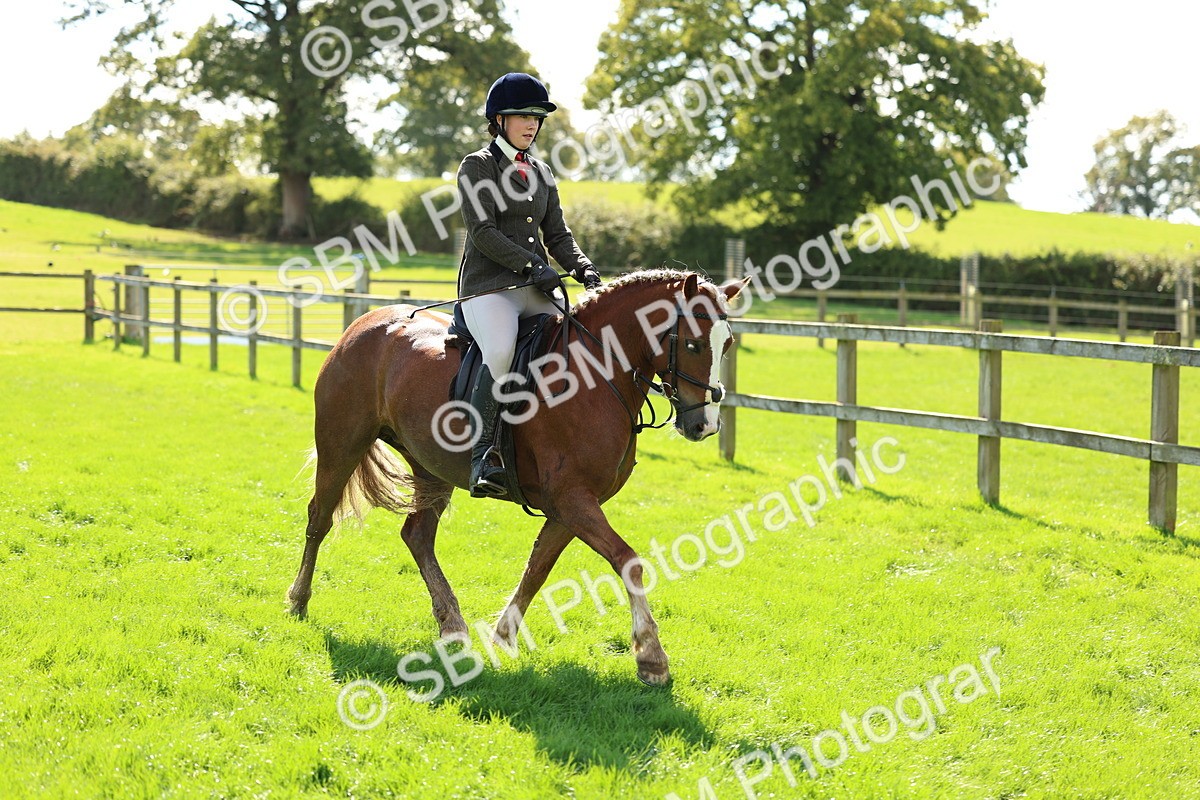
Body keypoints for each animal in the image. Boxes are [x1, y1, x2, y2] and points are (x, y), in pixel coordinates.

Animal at [286, 269, 748, 686]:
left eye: (726, 343)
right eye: (691, 343)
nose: (705, 425)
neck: (595, 374)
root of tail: (364, 324)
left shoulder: (570, 507)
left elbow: (538, 568)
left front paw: (502, 637)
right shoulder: (573, 500)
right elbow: (627, 560)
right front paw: (652, 658)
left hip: (431, 469)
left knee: (417, 535)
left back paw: (453, 626)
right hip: (342, 445)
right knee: (319, 519)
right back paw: (298, 602)